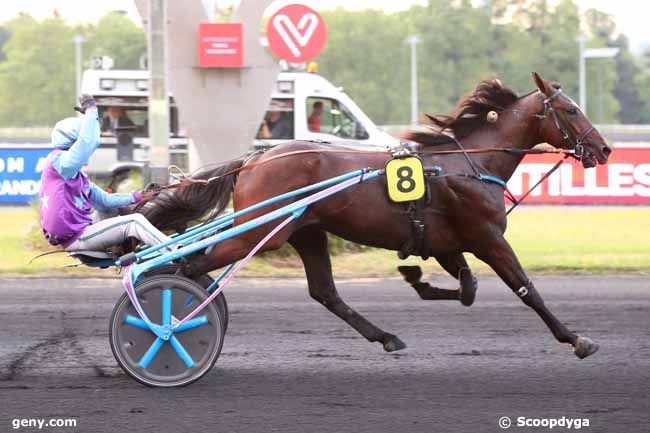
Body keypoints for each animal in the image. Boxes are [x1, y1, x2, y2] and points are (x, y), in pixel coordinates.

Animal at [140, 73, 608, 358]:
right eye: (570, 110)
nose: (603, 149)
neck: (471, 164)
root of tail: (254, 160)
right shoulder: (487, 238)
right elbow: (526, 289)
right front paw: (576, 339)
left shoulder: (446, 243)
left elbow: (467, 287)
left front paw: (417, 280)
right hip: (262, 232)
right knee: (190, 264)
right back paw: (170, 321)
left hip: (306, 232)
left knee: (325, 292)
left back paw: (386, 336)